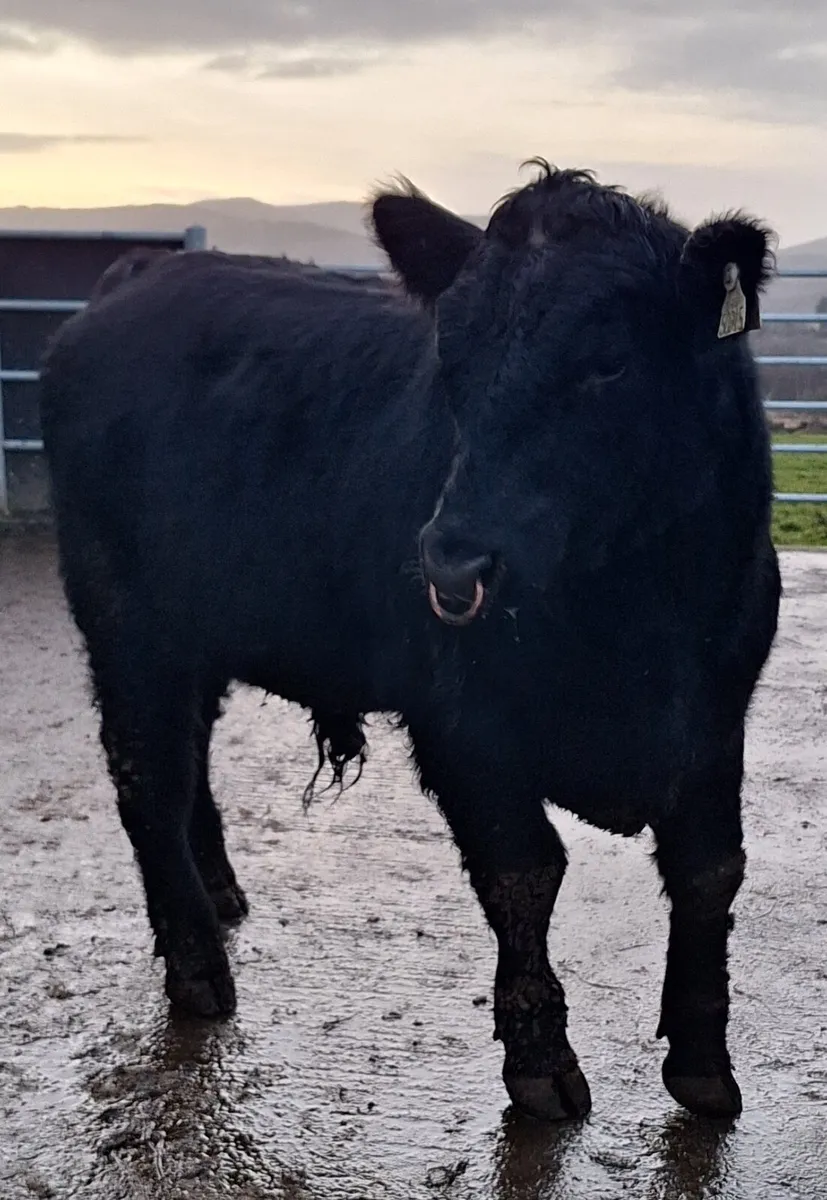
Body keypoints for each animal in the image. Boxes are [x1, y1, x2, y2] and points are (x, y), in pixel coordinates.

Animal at [39, 160, 781, 1123]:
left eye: (609, 361)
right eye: (450, 359)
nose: (450, 559)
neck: (632, 619)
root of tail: (137, 279)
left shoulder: (715, 717)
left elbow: (708, 873)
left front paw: (701, 1062)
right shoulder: (463, 728)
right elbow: (524, 874)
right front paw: (540, 1064)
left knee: (186, 757)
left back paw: (222, 893)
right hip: (126, 625)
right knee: (147, 784)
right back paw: (199, 969)